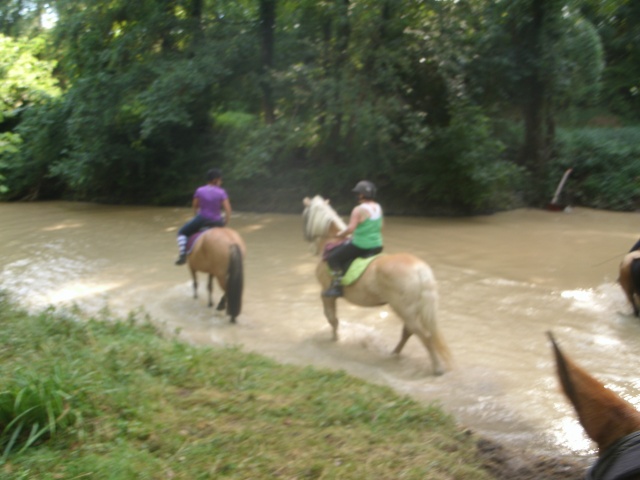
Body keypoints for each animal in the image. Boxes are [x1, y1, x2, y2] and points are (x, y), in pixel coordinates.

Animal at [302, 195, 452, 376]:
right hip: (409, 310)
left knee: (425, 336)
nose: (306, 239)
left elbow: (332, 318)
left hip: (404, 309)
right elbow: (333, 318)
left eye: (304, 215)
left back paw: (437, 368)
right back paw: (393, 353)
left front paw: (335, 339)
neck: (331, 242)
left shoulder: (326, 292)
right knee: (408, 332)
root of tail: (419, 269)